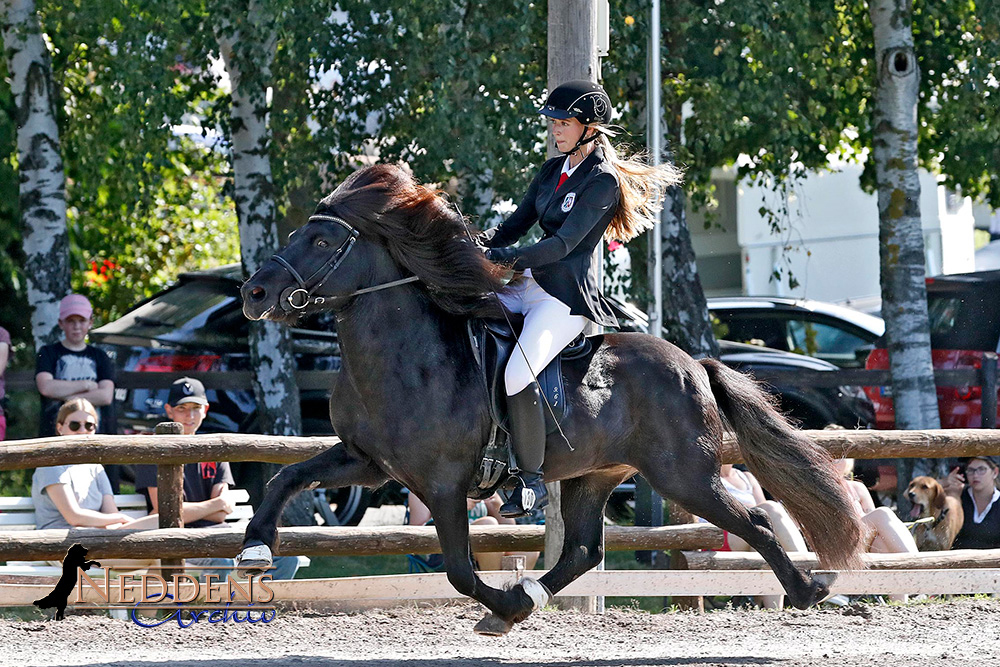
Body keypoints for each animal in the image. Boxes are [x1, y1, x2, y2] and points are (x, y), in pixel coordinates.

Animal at [236, 164, 868, 636]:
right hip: (595, 474)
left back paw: (810, 590)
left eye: (321, 239)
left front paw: (500, 603)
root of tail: (693, 363)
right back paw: (524, 602)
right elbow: (285, 478)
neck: (402, 357)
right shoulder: (367, 461)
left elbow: (459, 571)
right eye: (294, 235)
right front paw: (255, 550)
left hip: (683, 474)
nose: (254, 293)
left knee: (754, 519)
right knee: (583, 551)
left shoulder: (443, 483)